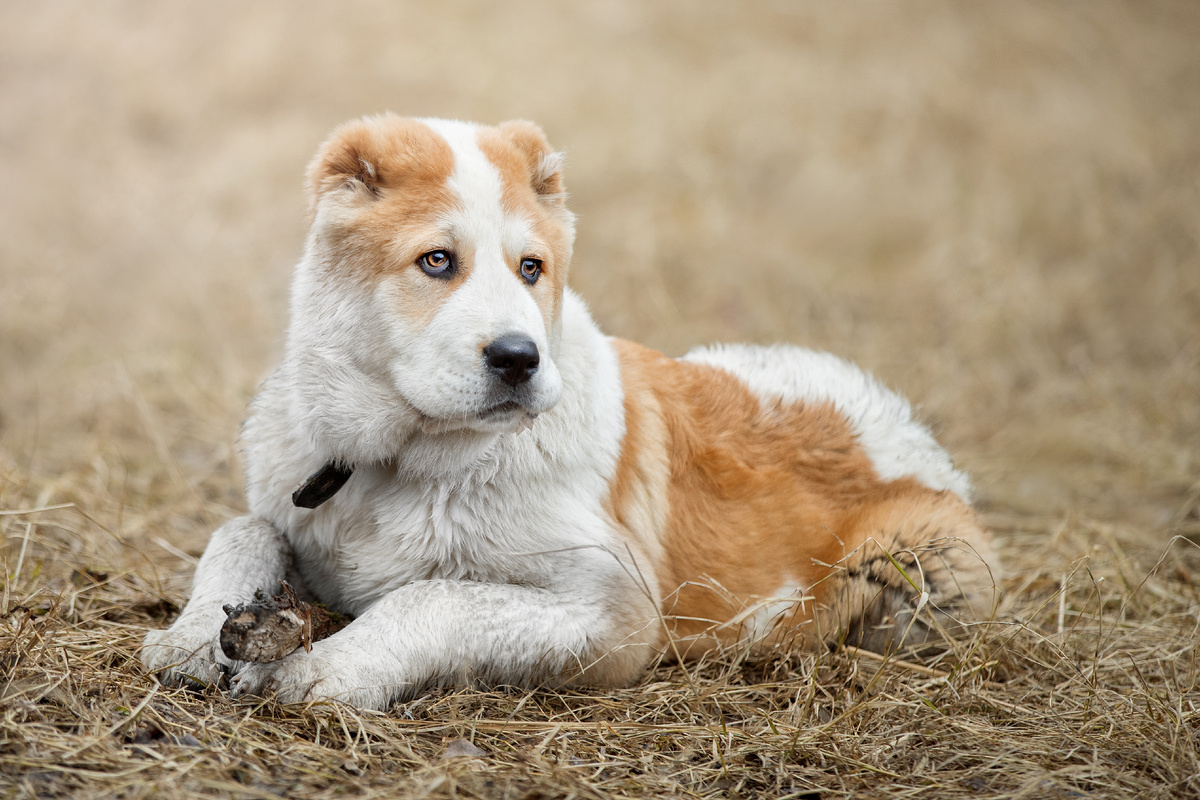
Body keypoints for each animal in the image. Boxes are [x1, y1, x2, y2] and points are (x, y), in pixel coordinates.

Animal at [142, 115, 1003, 710]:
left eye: (532, 269)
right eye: (436, 261)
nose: (519, 358)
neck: (402, 461)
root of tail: (905, 423)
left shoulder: (614, 613)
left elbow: (435, 596)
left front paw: (323, 668)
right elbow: (242, 529)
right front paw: (194, 636)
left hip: (928, 575)